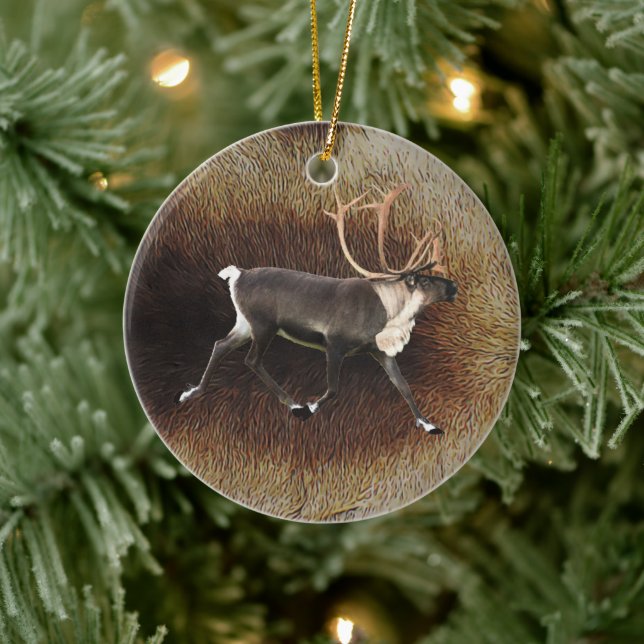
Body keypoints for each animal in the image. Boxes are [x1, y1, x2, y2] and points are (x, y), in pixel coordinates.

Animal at [178, 183, 457, 434]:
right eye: (423, 280)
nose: (453, 286)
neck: (389, 313)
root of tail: (238, 274)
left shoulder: (380, 351)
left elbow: (404, 386)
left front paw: (429, 424)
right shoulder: (334, 343)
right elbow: (333, 389)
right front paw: (308, 408)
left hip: (245, 323)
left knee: (220, 345)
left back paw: (191, 392)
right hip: (264, 324)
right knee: (252, 359)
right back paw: (293, 404)